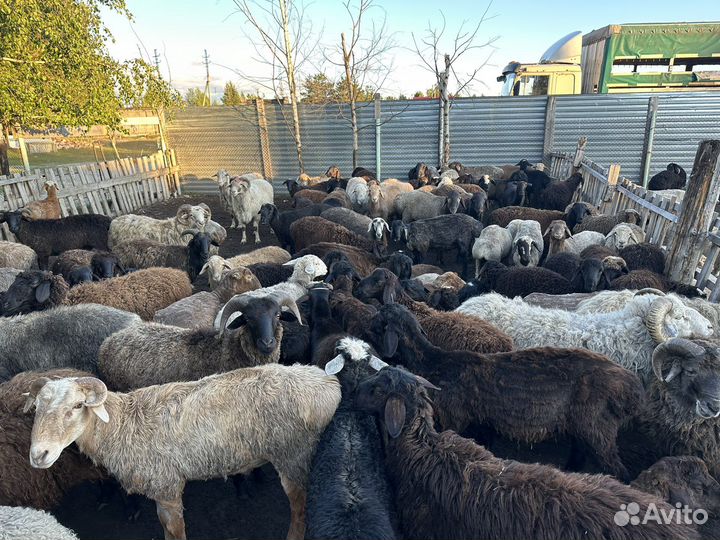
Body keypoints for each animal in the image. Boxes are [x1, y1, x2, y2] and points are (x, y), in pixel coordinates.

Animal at [26, 365, 341, 540]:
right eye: (37, 408)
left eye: (78, 406)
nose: (39, 454)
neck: (124, 425)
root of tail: (329, 384)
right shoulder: (160, 488)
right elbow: (166, 529)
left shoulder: (167, 487)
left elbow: (175, 530)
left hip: (293, 455)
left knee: (299, 508)